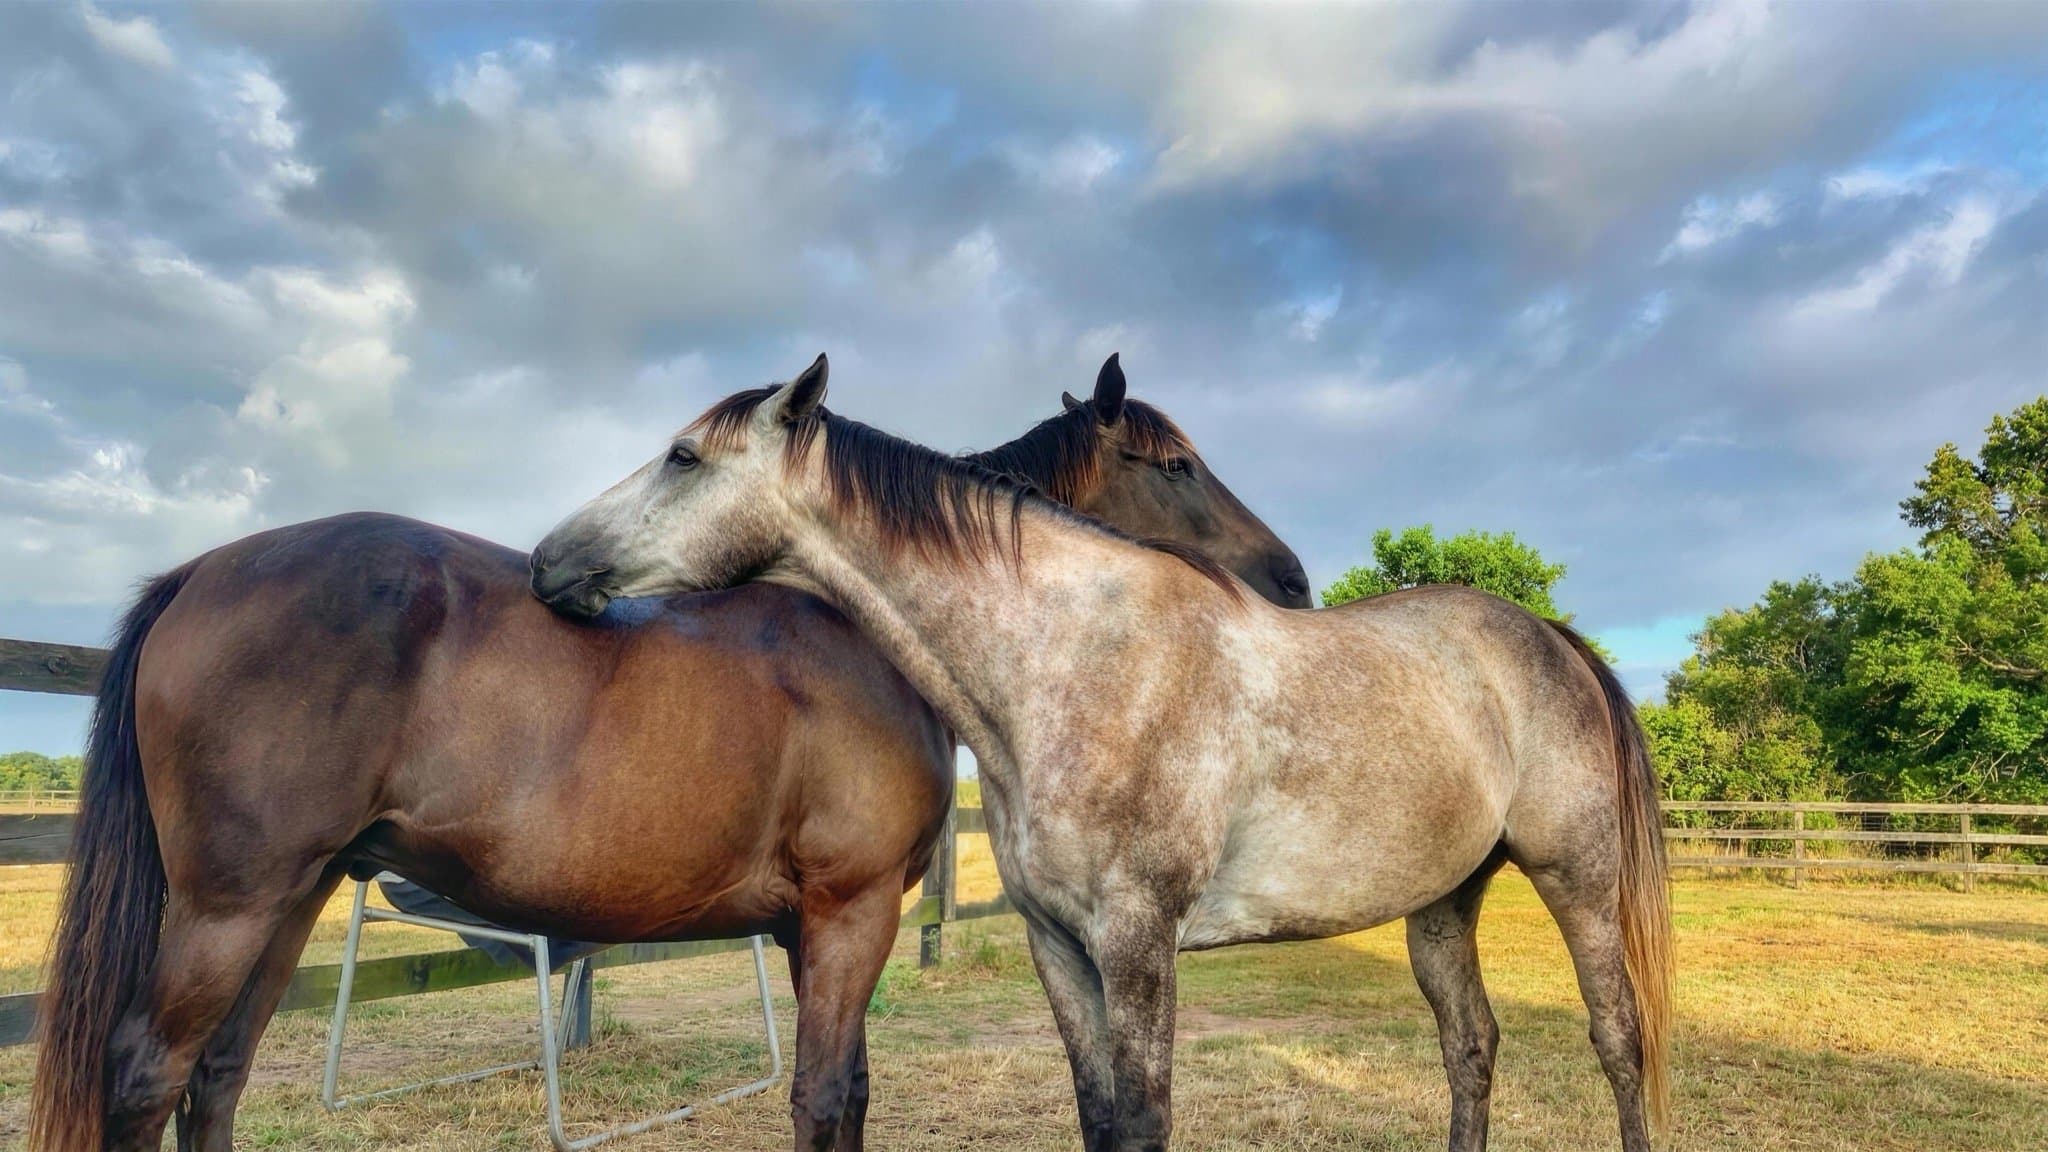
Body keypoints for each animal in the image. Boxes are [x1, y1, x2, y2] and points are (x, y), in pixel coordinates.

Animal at [28, 356, 1308, 1152]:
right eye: (1175, 466)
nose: (1291, 579)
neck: (867, 628)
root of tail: (202, 570)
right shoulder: (850, 913)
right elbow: (824, 1095)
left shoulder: (811, 931)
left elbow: (842, 1095)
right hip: (228, 907)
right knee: (145, 1074)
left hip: (291, 900)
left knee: (215, 1078)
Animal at [531, 356, 1675, 1152]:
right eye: (1173, 467)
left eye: (683, 457)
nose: (548, 560)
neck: (1071, 659)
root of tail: (1548, 639)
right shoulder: (1058, 945)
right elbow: (1095, 1114)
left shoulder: (1135, 942)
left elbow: (1141, 1120)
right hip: (1441, 902)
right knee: (1470, 1046)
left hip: (1577, 879)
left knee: (1618, 1041)